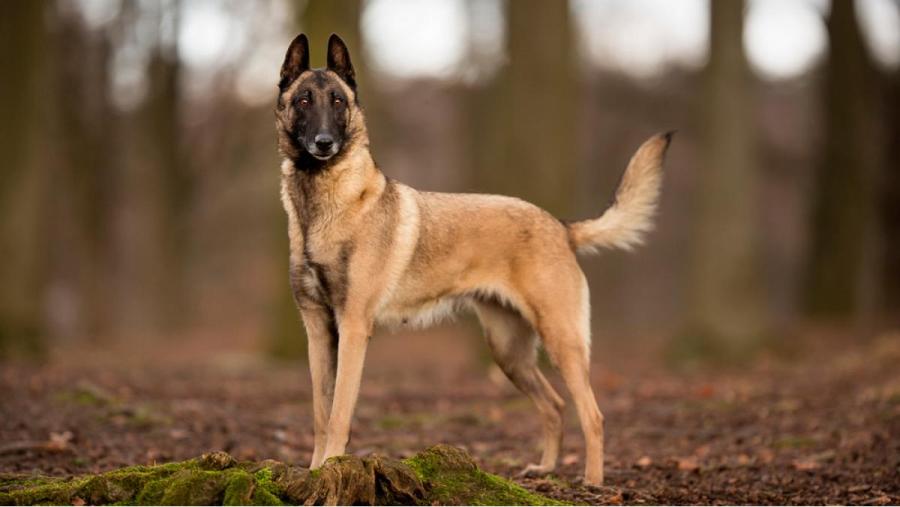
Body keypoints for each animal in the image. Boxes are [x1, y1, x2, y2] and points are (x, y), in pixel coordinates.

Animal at [278, 33, 672, 486]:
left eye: (338, 101)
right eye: (303, 100)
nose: (324, 143)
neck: (322, 204)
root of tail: (560, 226)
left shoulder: (354, 328)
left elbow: (339, 413)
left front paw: (331, 468)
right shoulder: (318, 331)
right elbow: (320, 413)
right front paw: (314, 472)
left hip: (562, 341)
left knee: (592, 414)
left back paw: (591, 481)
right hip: (508, 352)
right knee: (555, 406)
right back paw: (545, 467)